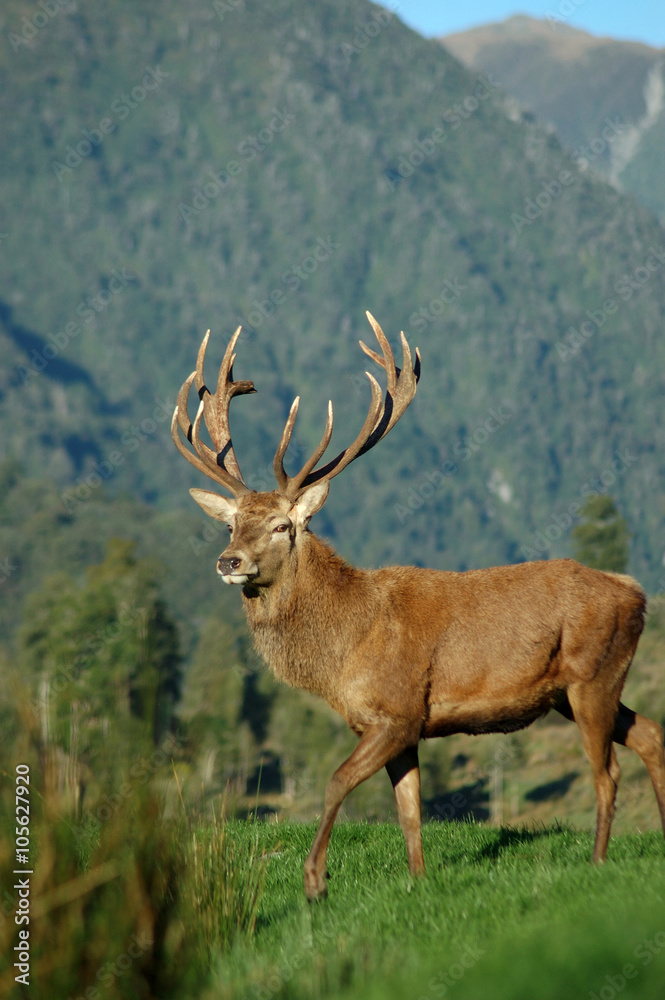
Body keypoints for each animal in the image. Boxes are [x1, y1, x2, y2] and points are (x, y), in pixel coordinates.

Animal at [172, 312, 665, 901]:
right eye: (230, 524)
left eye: (281, 525)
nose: (229, 561)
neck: (343, 651)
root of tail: (636, 592)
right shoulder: (396, 729)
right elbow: (409, 810)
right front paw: (418, 879)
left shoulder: (399, 711)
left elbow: (336, 781)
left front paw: (315, 880)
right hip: (576, 689)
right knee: (652, 735)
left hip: (593, 675)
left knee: (607, 772)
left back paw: (596, 860)